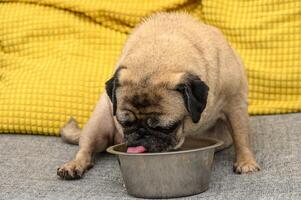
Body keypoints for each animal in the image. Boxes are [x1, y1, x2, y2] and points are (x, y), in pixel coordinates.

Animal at [57, 12, 258, 180]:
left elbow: (241, 136)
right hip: (98, 122)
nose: (140, 133)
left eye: (166, 127)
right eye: (124, 123)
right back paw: (74, 165)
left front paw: (246, 162)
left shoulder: (235, 103)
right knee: (86, 149)